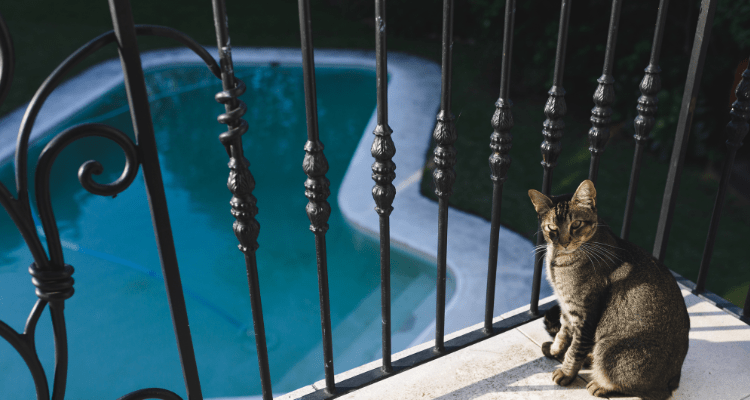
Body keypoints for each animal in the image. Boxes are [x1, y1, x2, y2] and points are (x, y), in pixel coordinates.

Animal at [528, 180, 692, 400]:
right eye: (552, 227)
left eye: (576, 225)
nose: (563, 242)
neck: (557, 260)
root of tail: (673, 381)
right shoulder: (567, 308)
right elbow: (563, 333)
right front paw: (555, 350)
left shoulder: (584, 315)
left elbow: (574, 349)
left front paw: (566, 373)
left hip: (609, 348)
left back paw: (601, 385)